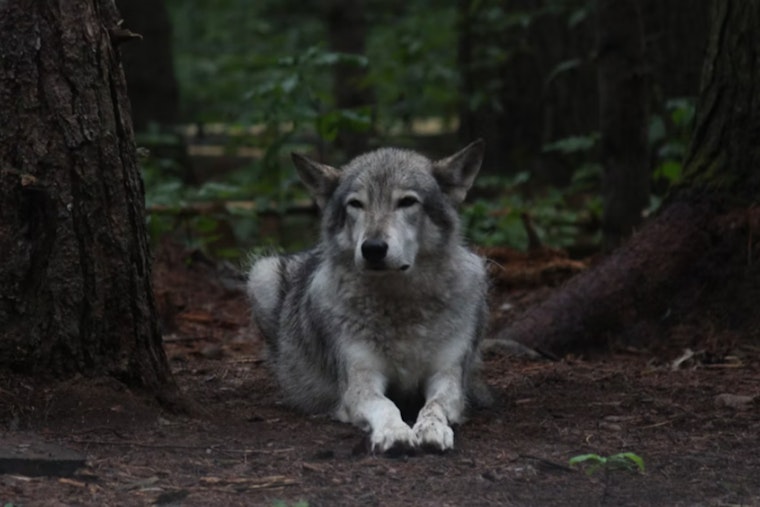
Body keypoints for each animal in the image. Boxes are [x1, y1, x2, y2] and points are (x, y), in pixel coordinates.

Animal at [247, 140, 490, 453]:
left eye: (407, 202)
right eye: (356, 204)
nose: (373, 248)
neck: (399, 305)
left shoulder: (446, 376)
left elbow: (433, 405)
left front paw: (432, 429)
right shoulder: (360, 380)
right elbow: (385, 405)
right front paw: (395, 432)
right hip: (261, 274)